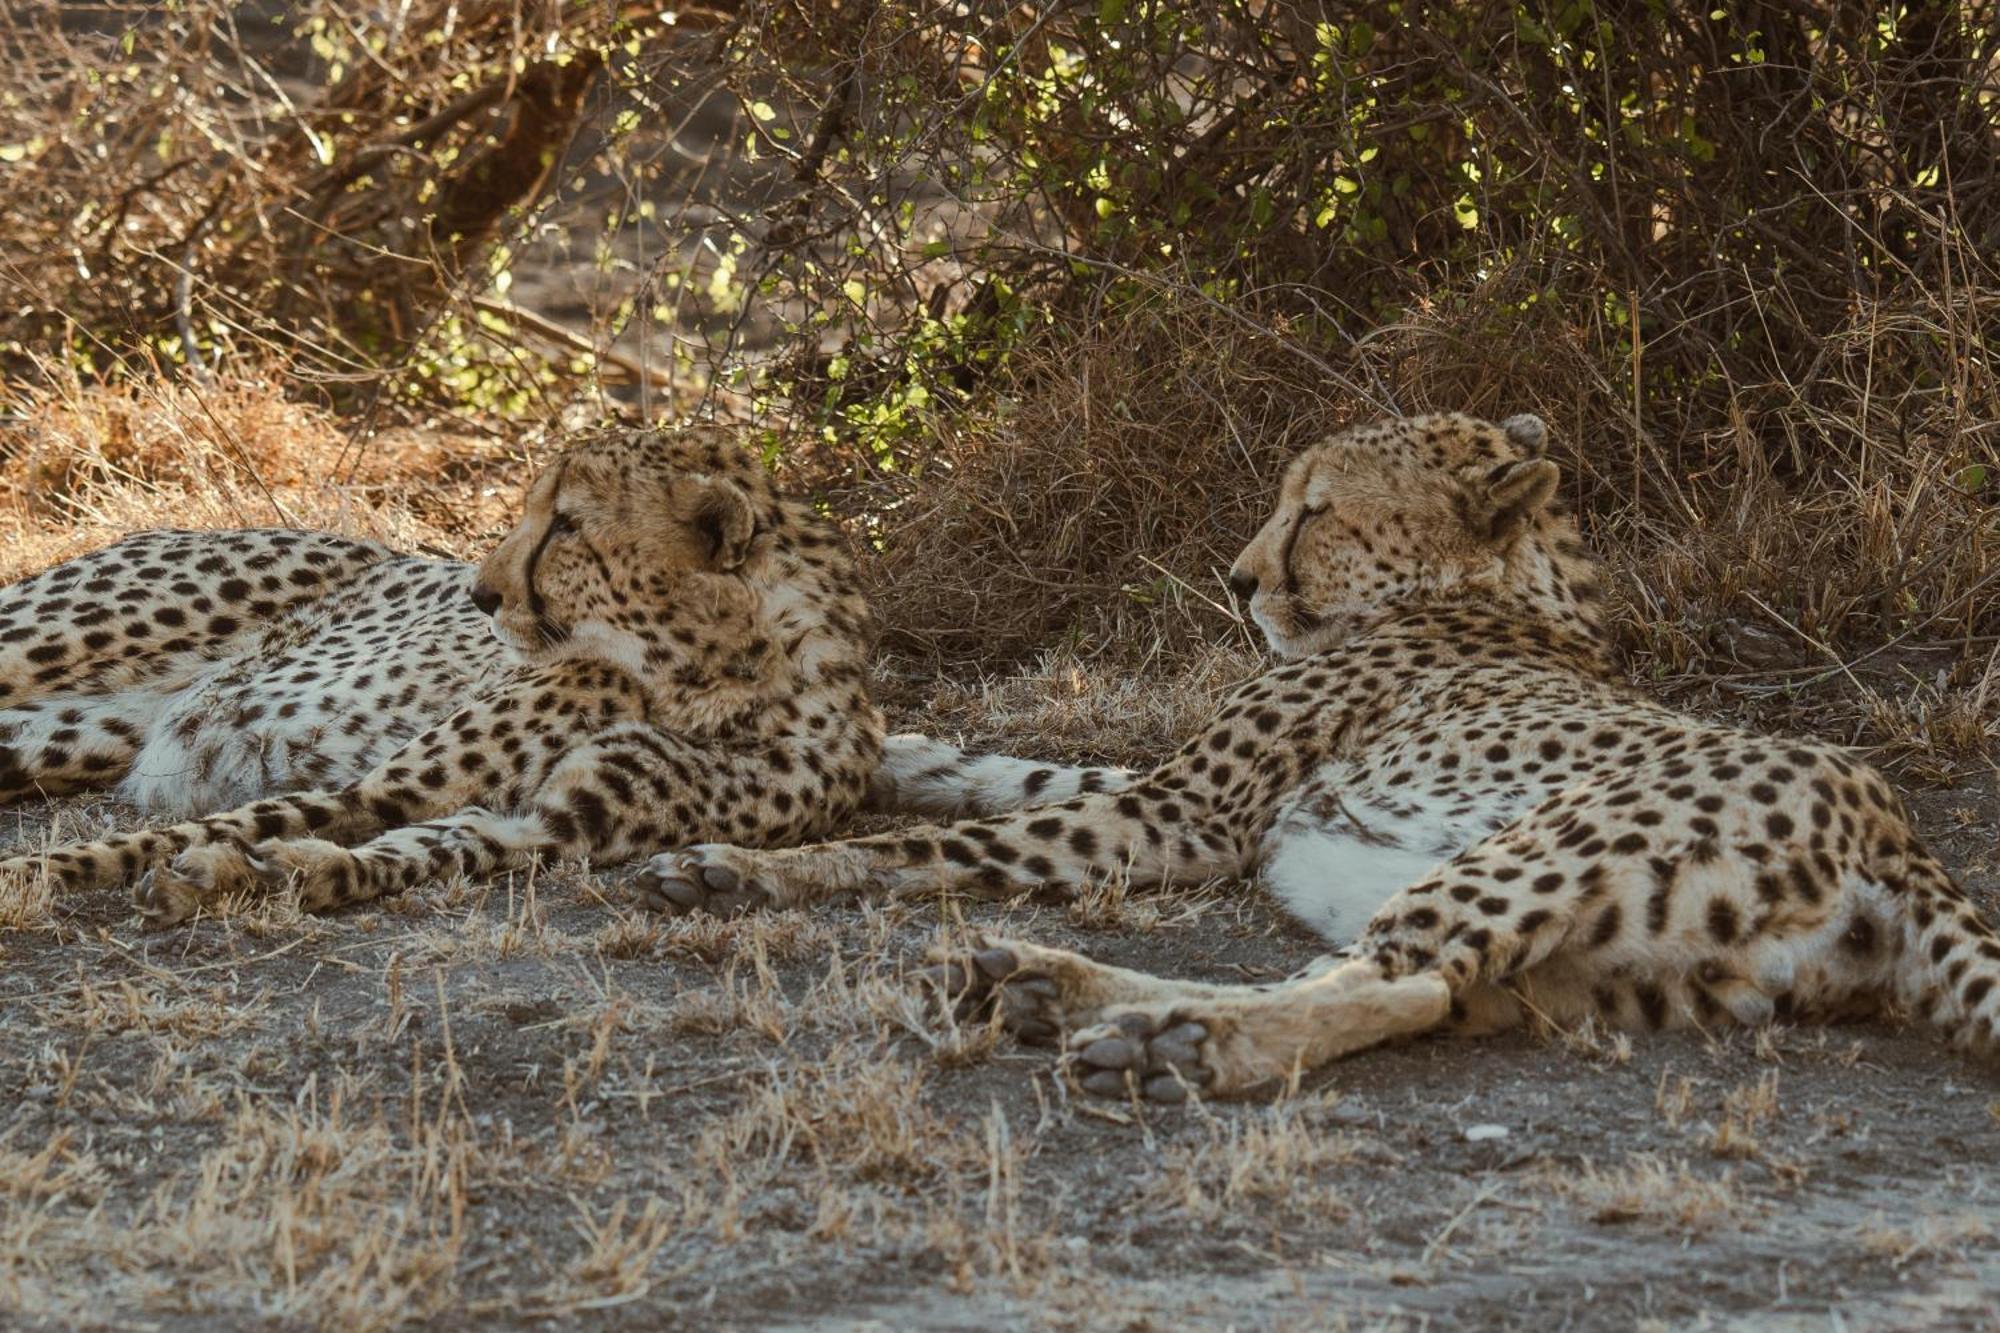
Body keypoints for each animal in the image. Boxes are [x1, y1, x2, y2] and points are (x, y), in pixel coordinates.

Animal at [0, 420, 880, 920]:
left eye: (566, 526)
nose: (480, 594)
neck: (706, 678)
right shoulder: (377, 788)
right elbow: (174, 833)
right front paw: (34, 873)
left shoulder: (553, 824)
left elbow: (426, 848)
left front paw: (263, 874)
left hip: (68, 735)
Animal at [640, 410, 2000, 1096]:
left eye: (1315, 510)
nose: (1239, 582)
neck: (1500, 592)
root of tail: (1893, 827)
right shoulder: (1188, 794)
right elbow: (1015, 776)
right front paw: (902, 753)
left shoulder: (1181, 812)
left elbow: (950, 841)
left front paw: (738, 866)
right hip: (1612, 969)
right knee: (1428, 993)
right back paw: (1048, 988)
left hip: (1532, 847)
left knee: (1389, 976)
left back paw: (1154, 1035)